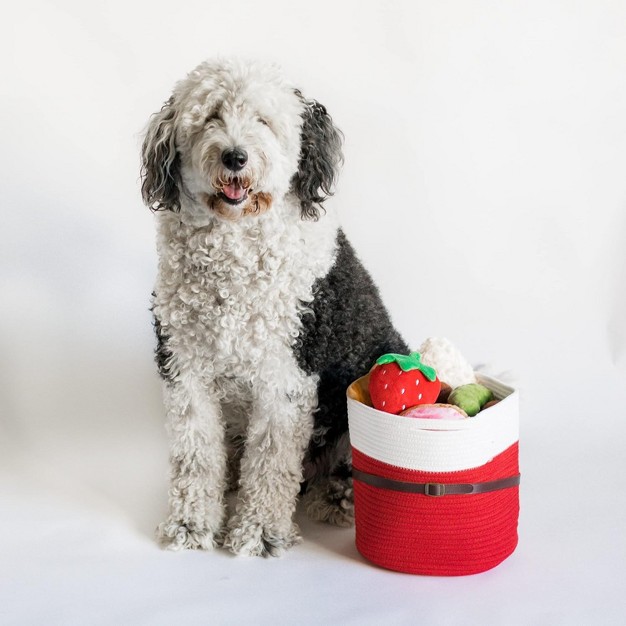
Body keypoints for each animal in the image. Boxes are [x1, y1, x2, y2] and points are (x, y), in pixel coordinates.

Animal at [140, 59, 404, 556]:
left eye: (263, 120)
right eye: (210, 118)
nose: (235, 157)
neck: (234, 251)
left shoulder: (286, 376)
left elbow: (270, 462)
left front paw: (259, 531)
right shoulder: (184, 365)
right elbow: (195, 454)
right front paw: (191, 525)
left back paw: (334, 497)